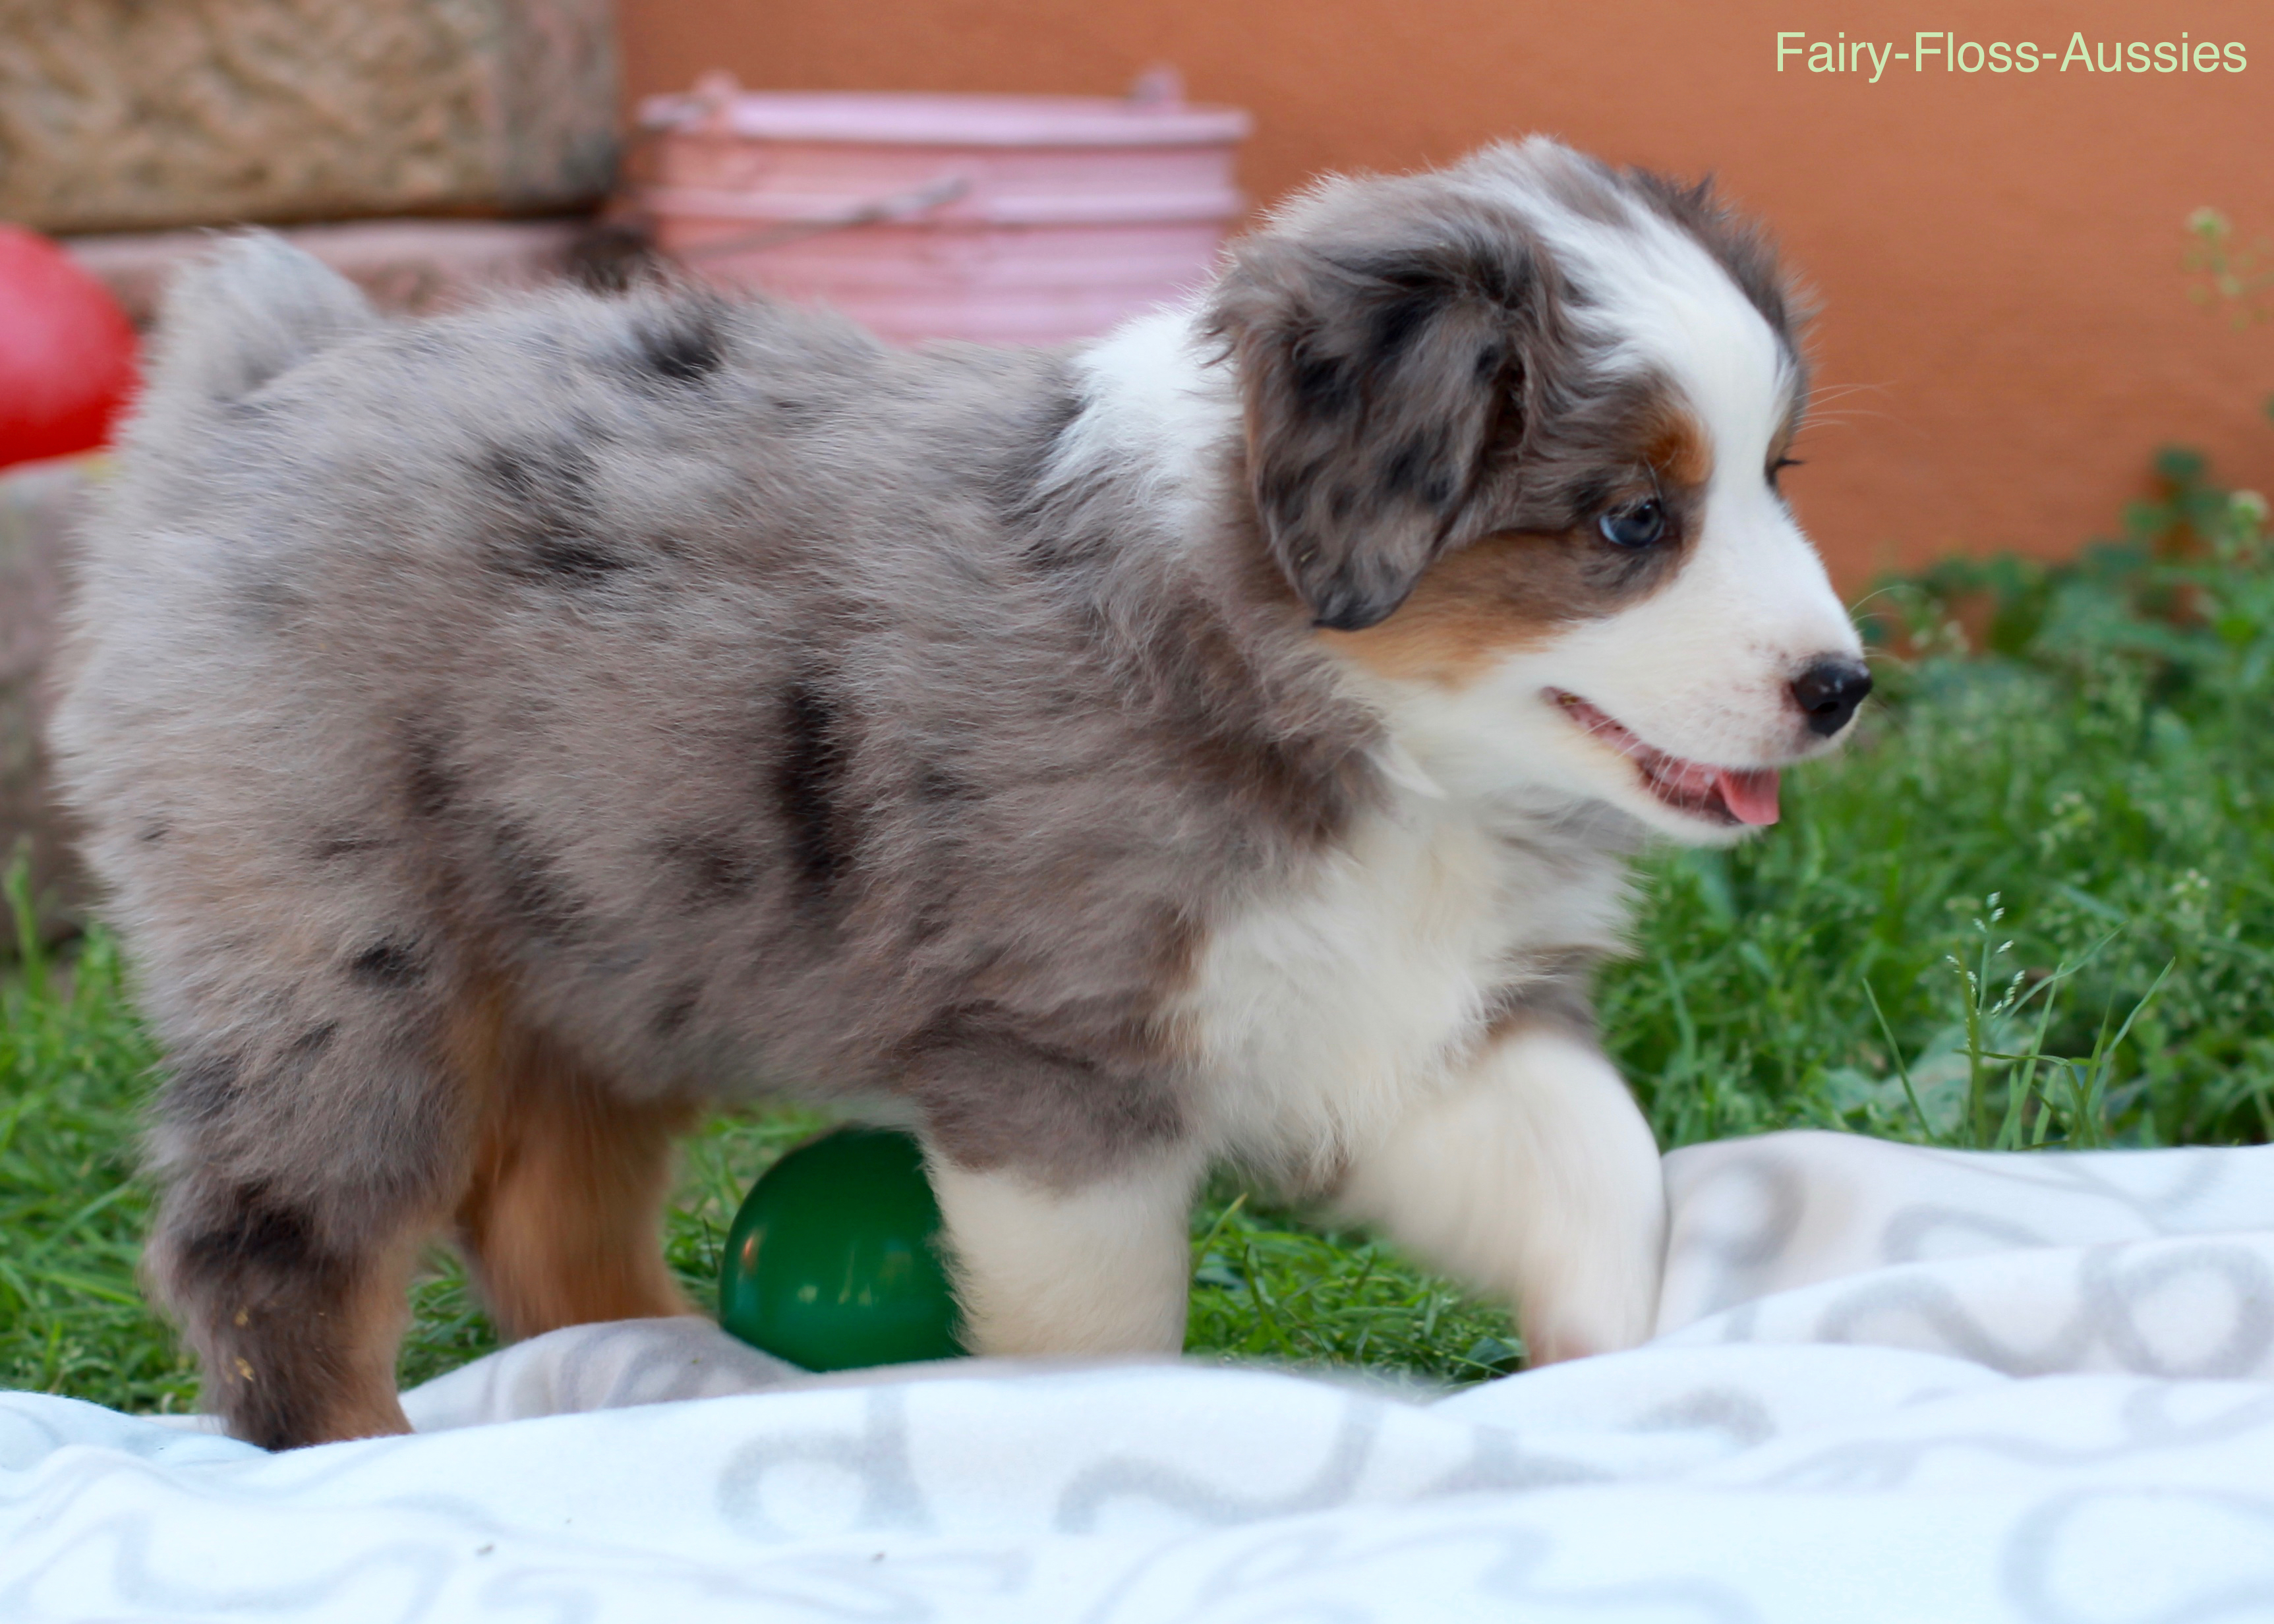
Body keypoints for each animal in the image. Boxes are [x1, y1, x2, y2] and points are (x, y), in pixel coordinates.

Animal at [49, 139, 1865, 1446]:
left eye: (1777, 475)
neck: (1362, 737)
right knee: (272, 1239)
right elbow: (1104, 1332)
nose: (1841, 689)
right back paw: (357, 1457)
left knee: (547, 1208)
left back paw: (660, 1384)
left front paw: (1606, 1387)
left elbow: (1595, 1170)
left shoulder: (1409, 1017)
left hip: (605, 939)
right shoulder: (1054, 1064)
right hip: (342, 955)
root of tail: (258, 398)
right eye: (1631, 520)